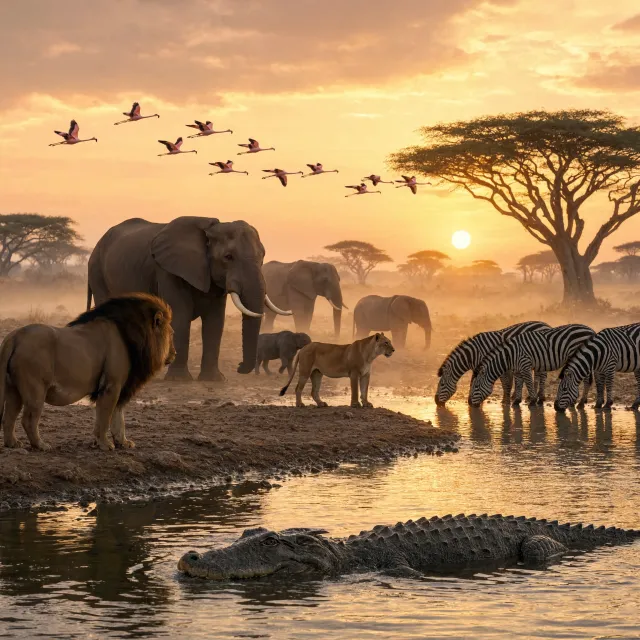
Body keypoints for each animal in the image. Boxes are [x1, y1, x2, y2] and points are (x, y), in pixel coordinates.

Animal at [0, 293, 175, 451]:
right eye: (172, 334)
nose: (175, 353)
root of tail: (15, 336)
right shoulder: (111, 385)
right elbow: (105, 417)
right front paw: (105, 444)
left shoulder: (121, 387)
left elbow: (119, 418)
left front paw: (123, 443)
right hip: (36, 388)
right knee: (28, 419)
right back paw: (41, 445)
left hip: (13, 389)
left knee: (8, 417)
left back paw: (13, 444)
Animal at [87, 217, 291, 381]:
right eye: (228, 257)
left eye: (262, 256)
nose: (240, 367)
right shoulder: (168, 271)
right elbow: (180, 315)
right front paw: (179, 380)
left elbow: (215, 321)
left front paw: (214, 380)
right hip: (97, 271)